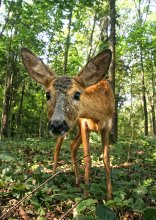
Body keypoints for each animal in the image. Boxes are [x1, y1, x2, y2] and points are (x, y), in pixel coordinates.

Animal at [20, 48, 115, 201]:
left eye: (77, 94)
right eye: (47, 94)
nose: (56, 125)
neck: (97, 115)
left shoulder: (107, 125)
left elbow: (106, 159)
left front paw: (109, 196)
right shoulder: (84, 123)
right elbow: (88, 159)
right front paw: (86, 196)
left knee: (72, 146)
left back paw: (78, 181)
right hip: (71, 128)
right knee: (58, 148)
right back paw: (52, 180)